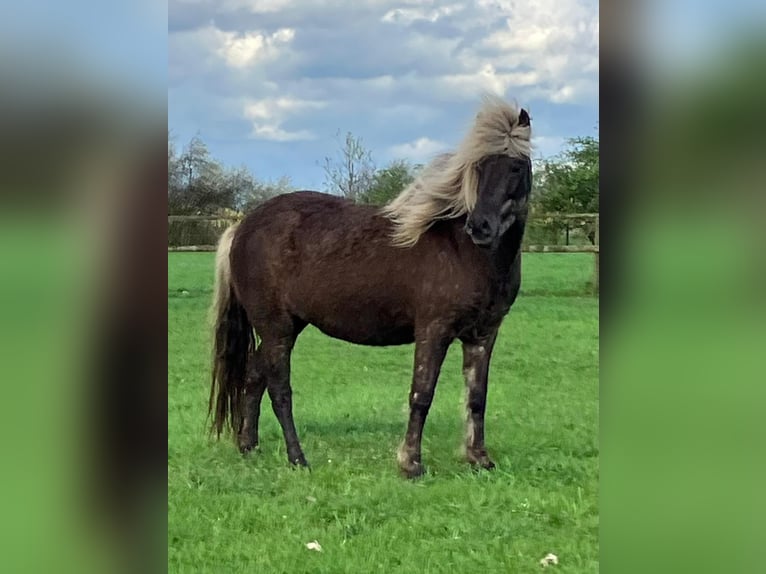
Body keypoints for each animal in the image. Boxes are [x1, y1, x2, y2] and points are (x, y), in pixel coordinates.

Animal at [210, 97, 536, 480]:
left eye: (515, 167)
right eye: (479, 167)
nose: (480, 227)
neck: (465, 252)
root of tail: (242, 226)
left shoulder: (483, 335)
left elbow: (477, 397)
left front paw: (479, 458)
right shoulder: (434, 330)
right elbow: (421, 394)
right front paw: (411, 464)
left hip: (287, 326)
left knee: (253, 377)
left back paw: (249, 447)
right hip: (276, 328)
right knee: (279, 389)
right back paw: (297, 458)